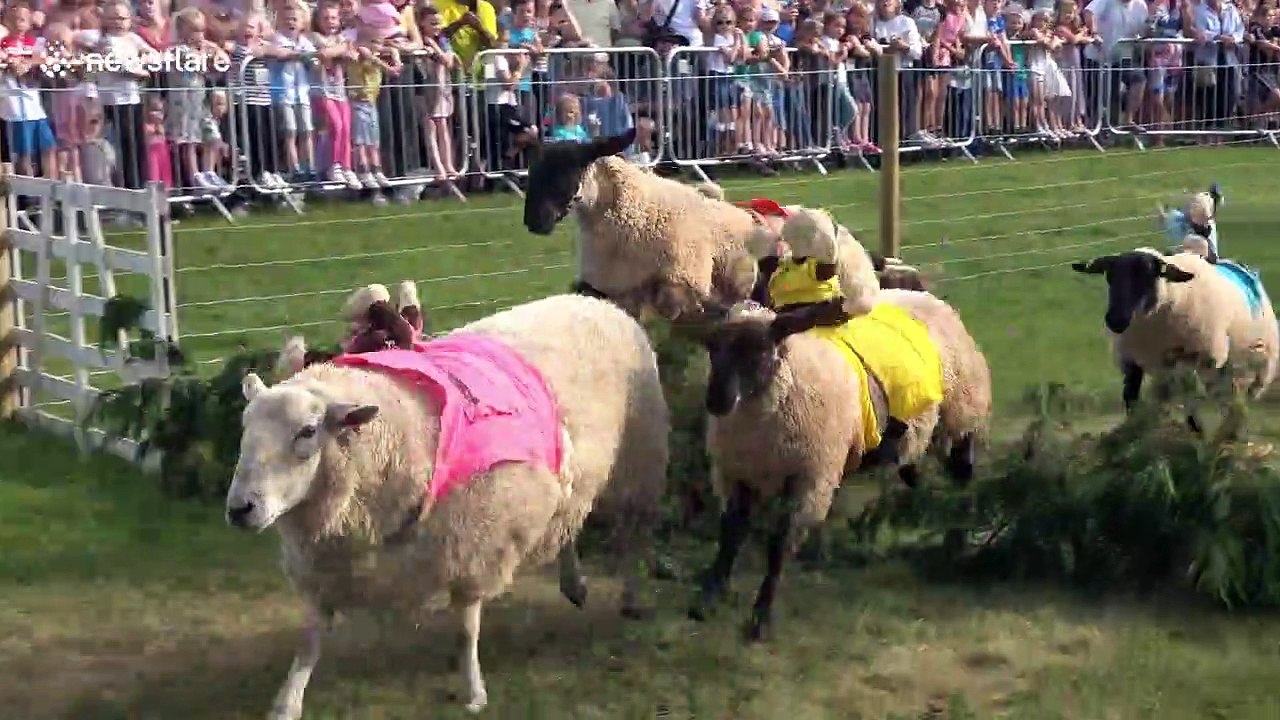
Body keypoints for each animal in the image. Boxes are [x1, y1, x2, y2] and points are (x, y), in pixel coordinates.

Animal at [227, 293, 670, 718]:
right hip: (568, 474)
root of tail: (598, 303)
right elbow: (309, 640)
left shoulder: (474, 546)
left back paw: (630, 597)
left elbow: (466, 629)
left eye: (307, 432)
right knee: (567, 523)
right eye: (244, 426)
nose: (239, 509)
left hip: (639, 462)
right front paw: (287, 701)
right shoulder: (324, 566)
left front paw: (474, 692)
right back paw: (574, 584)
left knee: (634, 536)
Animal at [687, 290, 991, 640]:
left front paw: (761, 617)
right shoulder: (737, 473)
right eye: (712, 345)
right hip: (918, 433)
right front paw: (707, 600)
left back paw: (956, 540)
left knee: (962, 477)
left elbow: (779, 545)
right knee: (915, 472)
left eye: (760, 349)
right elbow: (731, 535)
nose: (717, 401)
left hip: (962, 415)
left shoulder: (810, 478)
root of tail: (930, 298)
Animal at [1071, 247, 1278, 431]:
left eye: (1149, 277)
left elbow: (1189, 396)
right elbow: (1132, 397)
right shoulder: (1132, 361)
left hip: (1254, 361)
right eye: (1110, 277)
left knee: (1236, 393)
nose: (1115, 320)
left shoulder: (1195, 357)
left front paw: (1196, 430)